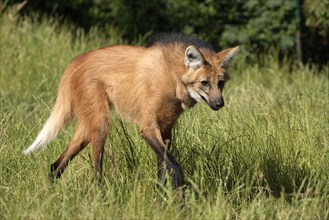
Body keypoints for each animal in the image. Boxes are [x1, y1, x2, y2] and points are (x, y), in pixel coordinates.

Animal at [23, 32, 238, 189]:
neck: (173, 77)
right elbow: (174, 167)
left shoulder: (166, 129)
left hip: (87, 127)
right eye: (204, 83)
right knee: (95, 170)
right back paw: (98, 196)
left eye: (220, 83)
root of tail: (76, 61)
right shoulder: (148, 127)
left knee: (55, 165)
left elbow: (162, 170)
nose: (219, 104)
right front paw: (179, 203)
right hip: (101, 124)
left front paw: (162, 200)